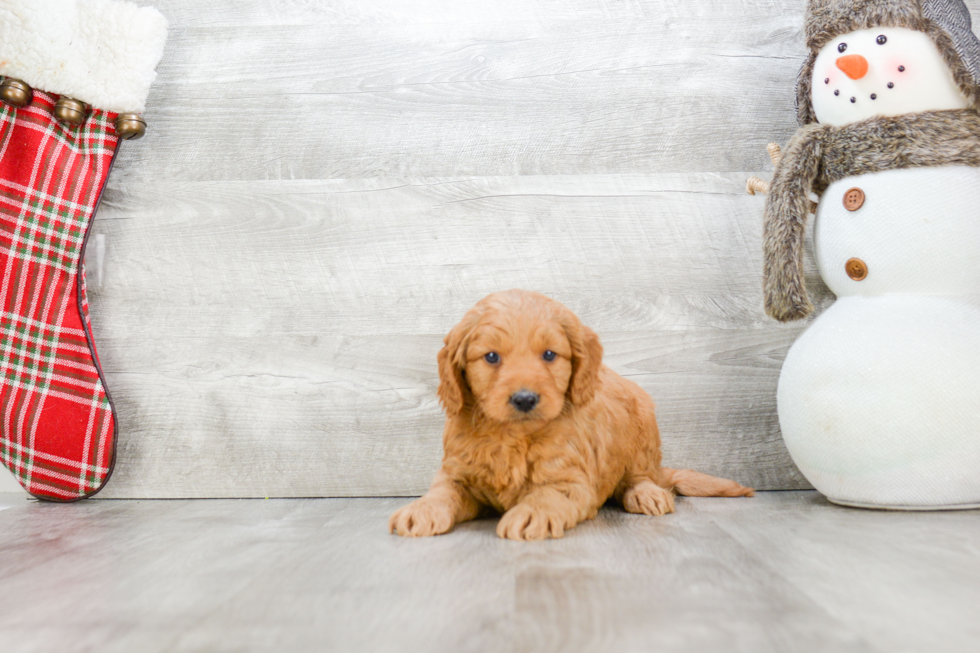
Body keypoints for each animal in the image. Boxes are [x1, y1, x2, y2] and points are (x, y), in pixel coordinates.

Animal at [386, 290, 756, 540]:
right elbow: (441, 491)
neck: (514, 436)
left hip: (643, 426)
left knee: (638, 476)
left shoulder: (571, 480)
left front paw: (531, 514)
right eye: (491, 357)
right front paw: (420, 509)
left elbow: (548, 495)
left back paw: (646, 493)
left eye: (550, 354)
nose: (525, 399)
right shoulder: (457, 472)